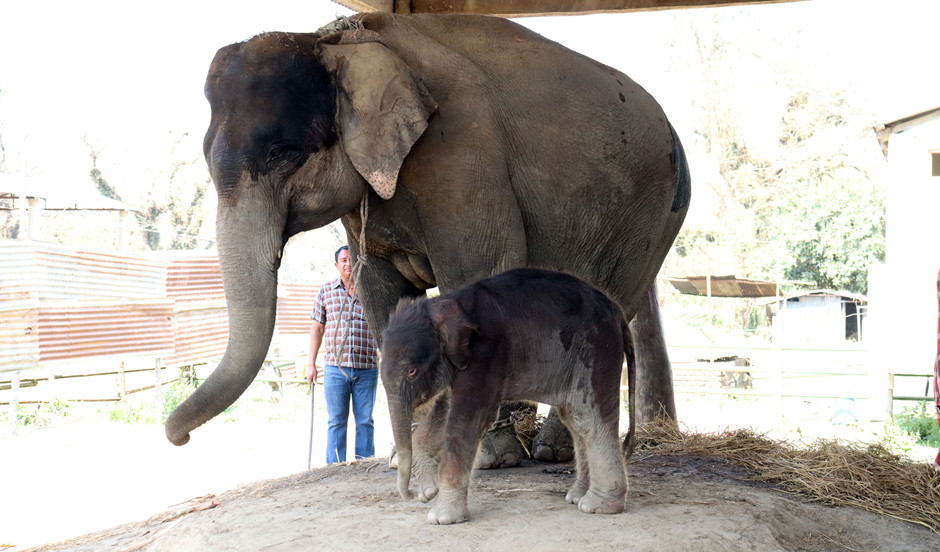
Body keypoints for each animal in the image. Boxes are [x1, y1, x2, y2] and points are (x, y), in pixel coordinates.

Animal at [165, 14, 688, 452]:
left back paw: (554, 450)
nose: (179, 438)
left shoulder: (460, 152)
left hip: (651, 213)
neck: (336, 40)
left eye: (282, 154)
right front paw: (410, 454)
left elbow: (480, 270)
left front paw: (487, 456)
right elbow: (380, 293)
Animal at [378, 268, 636, 528]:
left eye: (412, 372)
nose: (412, 496)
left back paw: (597, 506)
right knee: (575, 420)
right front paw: (428, 490)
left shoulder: (486, 353)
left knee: (589, 419)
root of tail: (617, 312)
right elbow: (445, 409)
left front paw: (441, 518)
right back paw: (576, 497)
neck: (443, 303)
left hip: (596, 349)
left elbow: (466, 420)